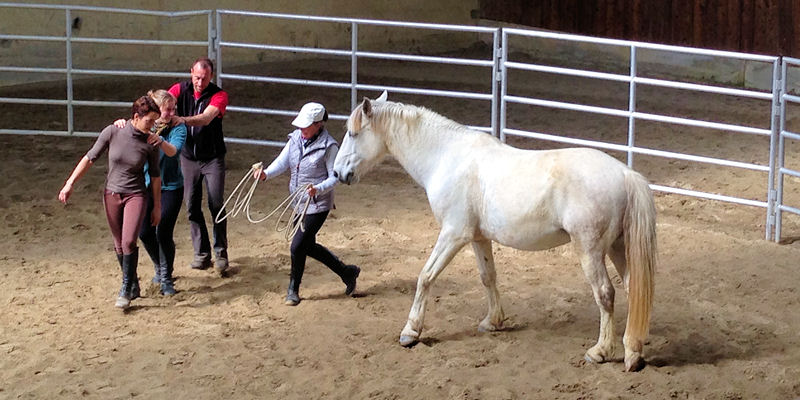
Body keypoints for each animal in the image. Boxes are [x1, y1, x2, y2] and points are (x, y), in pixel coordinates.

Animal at [332, 94, 656, 372]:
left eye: (353, 134)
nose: (337, 174)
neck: (446, 157)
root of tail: (625, 174)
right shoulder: (478, 238)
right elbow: (488, 277)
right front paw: (493, 322)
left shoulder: (453, 234)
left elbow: (425, 277)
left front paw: (410, 332)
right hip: (616, 247)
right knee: (633, 289)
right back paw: (633, 352)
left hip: (590, 250)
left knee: (605, 294)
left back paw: (600, 352)